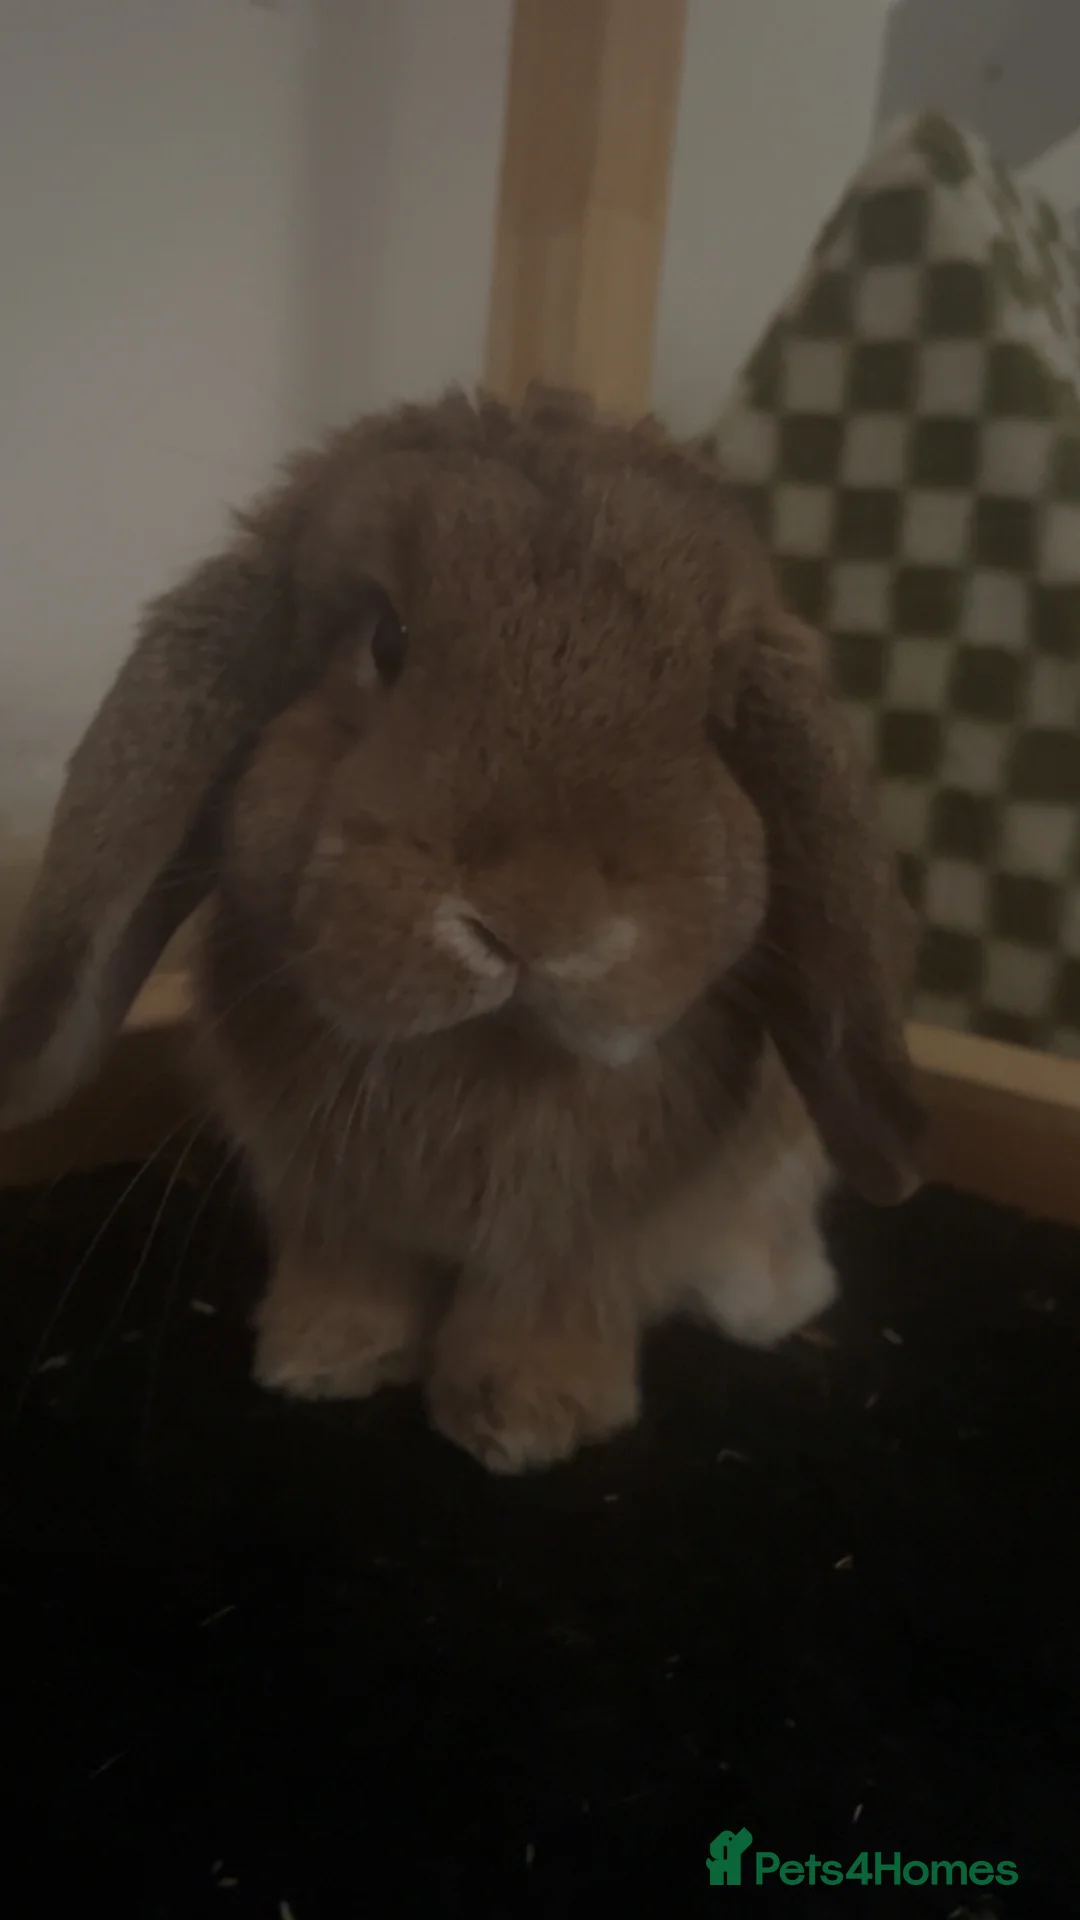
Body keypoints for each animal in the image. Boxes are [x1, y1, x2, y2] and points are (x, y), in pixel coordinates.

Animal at [0, 386, 922, 1472]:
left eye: (707, 704)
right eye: (384, 642)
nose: (538, 918)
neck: (484, 1047)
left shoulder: (591, 1232)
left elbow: (552, 1297)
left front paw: (527, 1417)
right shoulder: (322, 1194)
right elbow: (350, 1269)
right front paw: (322, 1356)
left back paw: (766, 1299)